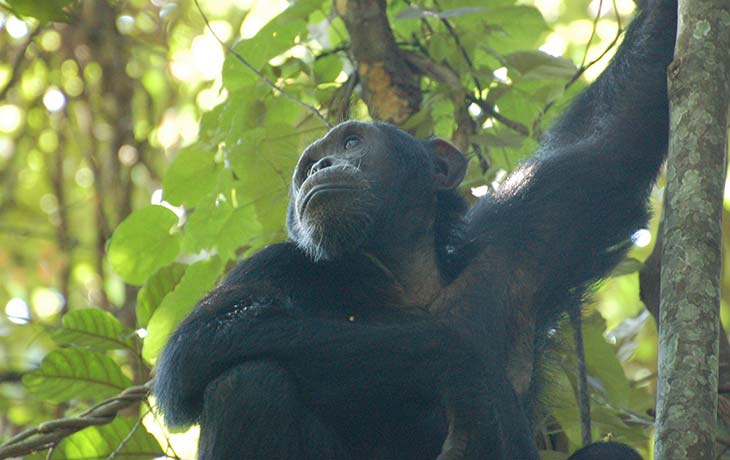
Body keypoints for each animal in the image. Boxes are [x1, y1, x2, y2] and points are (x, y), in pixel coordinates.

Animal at [154, 0, 676, 456]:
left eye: (351, 142)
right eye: (306, 167)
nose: (319, 164)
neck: (404, 275)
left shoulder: (533, 227)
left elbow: (615, 139)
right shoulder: (272, 263)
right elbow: (199, 343)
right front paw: (469, 374)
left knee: (609, 452)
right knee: (245, 384)